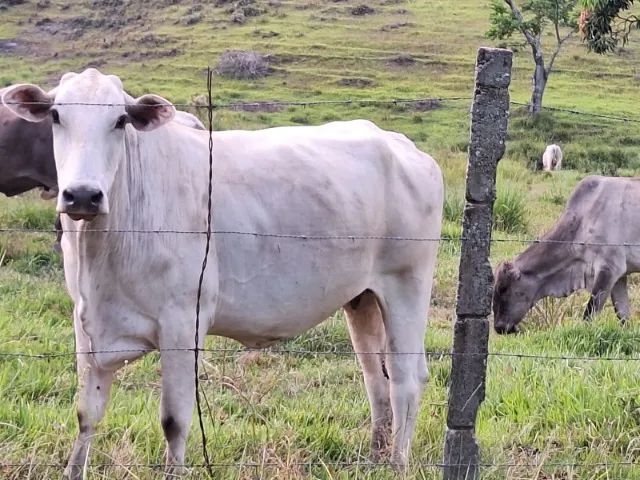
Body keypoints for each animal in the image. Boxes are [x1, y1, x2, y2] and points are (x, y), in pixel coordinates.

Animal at [2, 68, 444, 478]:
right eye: (56, 115)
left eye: (120, 120)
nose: (83, 195)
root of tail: (401, 145)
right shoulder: (86, 324)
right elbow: (86, 415)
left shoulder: (182, 325)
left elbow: (174, 421)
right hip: (361, 298)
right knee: (375, 379)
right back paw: (375, 459)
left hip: (407, 284)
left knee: (405, 378)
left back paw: (397, 465)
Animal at [493, 175, 640, 334]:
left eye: (503, 288)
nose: (498, 327)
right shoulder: (620, 276)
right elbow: (623, 316)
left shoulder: (609, 269)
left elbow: (589, 314)